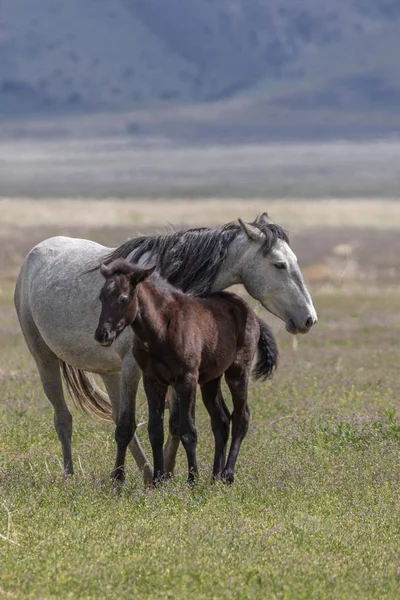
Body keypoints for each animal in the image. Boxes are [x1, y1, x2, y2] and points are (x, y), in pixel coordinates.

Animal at [95, 258, 278, 482]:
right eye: (102, 296)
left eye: (123, 298)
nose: (102, 334)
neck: (162, 328)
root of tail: (252, 314)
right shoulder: (153, 380)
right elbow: (155, 431)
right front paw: (157, 480)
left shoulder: (186, 380)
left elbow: (188, 430)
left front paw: (193, 480)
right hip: (211, 380)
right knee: (221, 420)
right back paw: (215, 477)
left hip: (238, 372)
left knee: (241, 417)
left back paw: (227, 474)